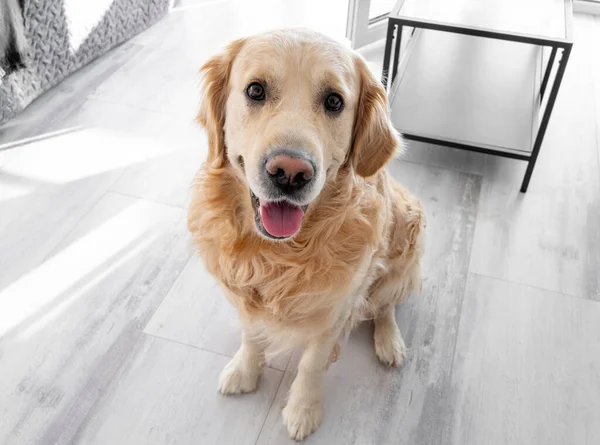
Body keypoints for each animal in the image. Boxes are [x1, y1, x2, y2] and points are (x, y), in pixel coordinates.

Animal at [189, 28, 426, 440]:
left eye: (334, 101)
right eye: (255, 90)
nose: (289, 173)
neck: (280, 254)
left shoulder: (335, 311)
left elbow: (311, 365)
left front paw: (302, 409)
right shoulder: (245, 293)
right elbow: (252, 335)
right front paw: (245, 371)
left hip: (407, 246)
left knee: (385, 306)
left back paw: (389, 341)